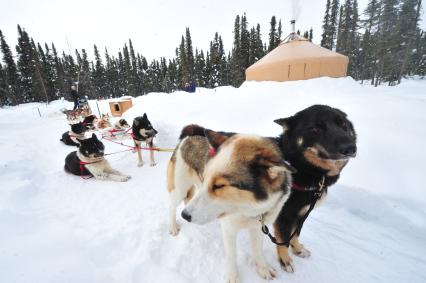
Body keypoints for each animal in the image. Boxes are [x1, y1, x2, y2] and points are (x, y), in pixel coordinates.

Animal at [272, 105, 356, 274]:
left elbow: (296, 234)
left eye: (343, 124)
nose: (350, 148)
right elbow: (283, 241)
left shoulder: (303, 213)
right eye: (315, 129)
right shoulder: (284, 217)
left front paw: (298, 249)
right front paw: (285, 261)